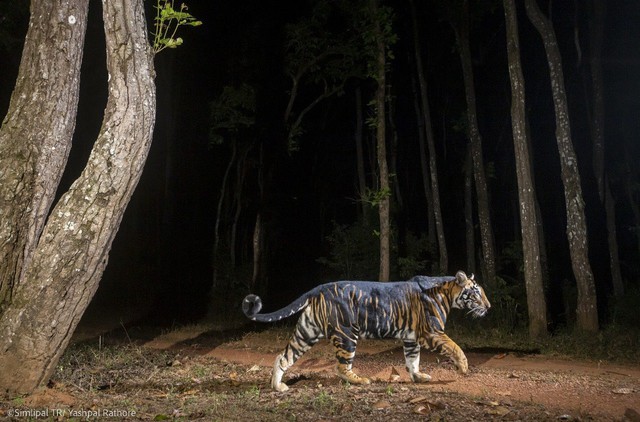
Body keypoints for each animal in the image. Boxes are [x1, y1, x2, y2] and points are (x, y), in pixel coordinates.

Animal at [241, 270, 490, 392]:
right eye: (476, 292)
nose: (488, 307)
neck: (447, 293)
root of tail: (319, 288)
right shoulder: (431, 332)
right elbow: (455, 348)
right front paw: (463, 367)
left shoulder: (411, 338)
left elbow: (413, 360)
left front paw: (418, 377)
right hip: (347, 334)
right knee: (342, 367)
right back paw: (360, 380)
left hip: (306, 332)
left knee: (283, 357)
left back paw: (278, 387)